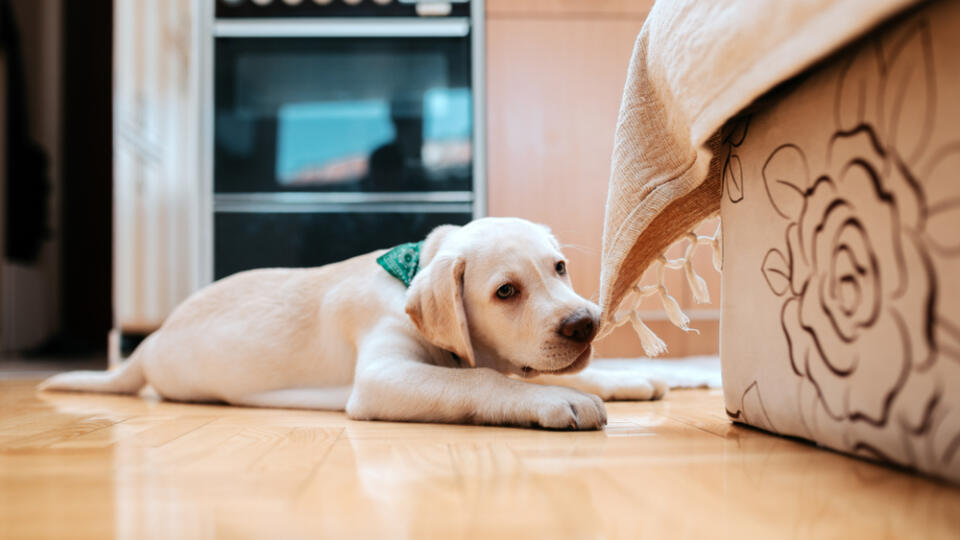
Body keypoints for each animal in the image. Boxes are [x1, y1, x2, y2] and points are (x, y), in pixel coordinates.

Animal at [39, 217, 668, 428]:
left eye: (559, 268)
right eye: (506, 292)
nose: (586, 324)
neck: (407, 273)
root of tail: (151, 341)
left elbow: (547, 371)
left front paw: (628, 379)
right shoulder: (384, 376)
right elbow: (481, 379)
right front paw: (557, 401)